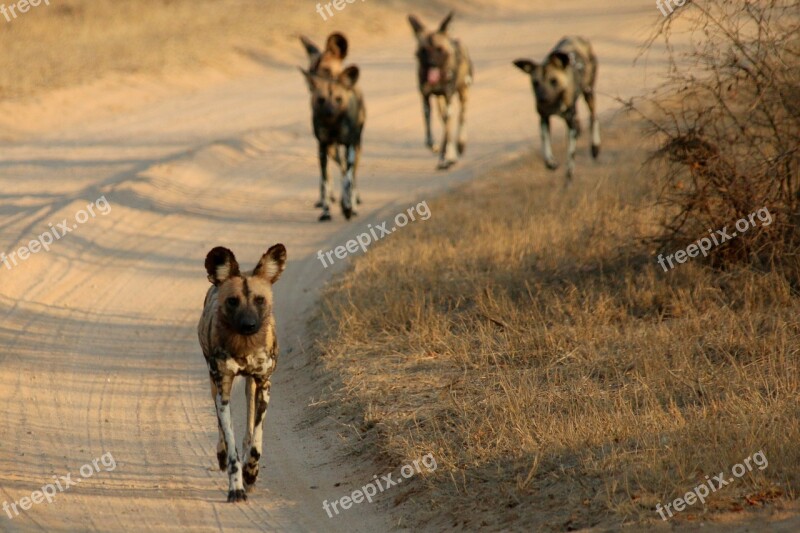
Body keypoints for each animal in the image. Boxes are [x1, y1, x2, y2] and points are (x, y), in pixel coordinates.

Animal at [195, 243, 286, 500]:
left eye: (260, 300)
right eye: (233, 301)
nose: (248, 325)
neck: (244, 346)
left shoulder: (264, 384)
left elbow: (256, 440)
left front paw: (251, 473)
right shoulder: (223, 390)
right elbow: (231, 446)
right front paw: (236, 487)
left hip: (251, 386)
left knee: (249, 428)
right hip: (214, 384)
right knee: (223, 432)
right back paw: (222, 455)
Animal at [300, 62, 366, 222]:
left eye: (338, 99)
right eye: (321, 100)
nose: (329, 113)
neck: (333, 125)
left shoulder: (349, 146)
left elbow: (348, 180)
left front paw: (348, 208)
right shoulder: (323, 148)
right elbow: (325, 182)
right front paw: (326, 212)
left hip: (356, 148)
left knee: (351, 175)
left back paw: (352, 206)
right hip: (333, 151)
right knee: (340, 169)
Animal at [512, 36, 600, 181]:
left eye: (553, 81)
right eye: (535, 83)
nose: (542, 99)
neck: (554, 104)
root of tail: (576, 37)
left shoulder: (569, 124)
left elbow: (570, 156)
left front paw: (569, 175)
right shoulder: (544, 119)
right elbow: (546, 146)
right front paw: (551, 163)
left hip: (588, 92)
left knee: (593, 116)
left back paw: (595, 147)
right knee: (579, 120)